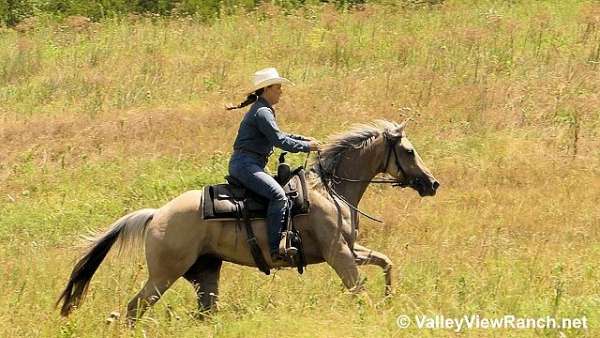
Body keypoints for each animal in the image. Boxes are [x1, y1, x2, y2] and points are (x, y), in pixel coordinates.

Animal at [56, 119, 440, 322]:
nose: (432, 183)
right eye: (409, 151)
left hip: (205, 272)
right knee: (135, 307)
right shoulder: (338, 254)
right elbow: (358, 290)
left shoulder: (351, 248)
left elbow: (386, 263)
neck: (330, 190)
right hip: (164, 274)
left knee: (204, 312)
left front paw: (390, 298)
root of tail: (155, 215)